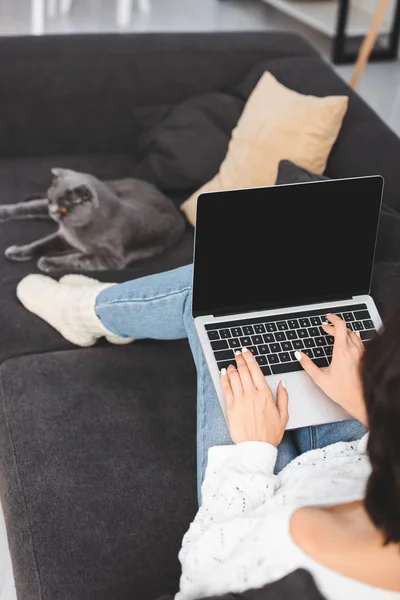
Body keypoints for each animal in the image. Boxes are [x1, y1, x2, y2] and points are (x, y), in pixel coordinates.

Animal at [0, 169, 184, 272]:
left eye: (64, 209)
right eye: (51, 200)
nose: (52, 212)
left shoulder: (110, 258)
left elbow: (78, 259)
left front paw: (48, 261)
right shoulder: (64, 235)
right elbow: (39, 244)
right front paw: (18, 251)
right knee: (27, 207)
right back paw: (3, 212)